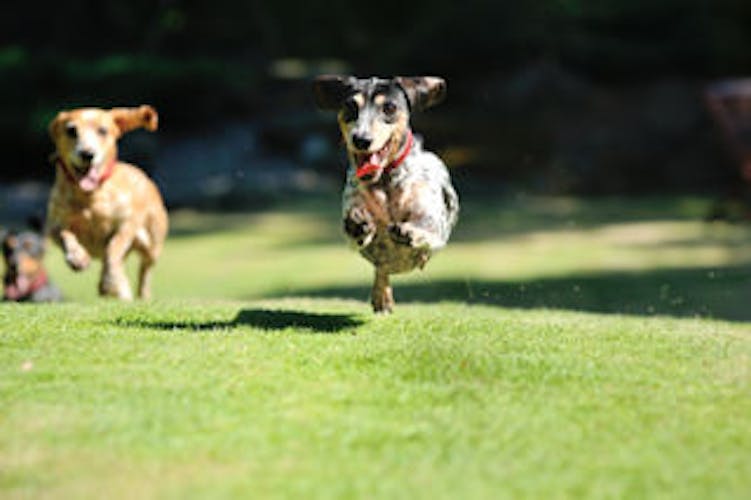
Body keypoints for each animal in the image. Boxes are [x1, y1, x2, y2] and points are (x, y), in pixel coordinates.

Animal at [46, 105, 168, 298]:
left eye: (102, 131)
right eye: (71, 130)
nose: (87, 154)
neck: (91, 197)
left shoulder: (127, 224)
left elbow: (113, 247)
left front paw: (110, 281)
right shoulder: (55, 223)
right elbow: (64, 234)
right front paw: (78, 257)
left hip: (153, 242)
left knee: (144, 269)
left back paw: (137, 292)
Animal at [312, 75, 458, 312]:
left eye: (389, 107)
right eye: (350, 106)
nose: (361, 139)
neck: (386, 181)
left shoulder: (435, 224)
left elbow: (427, 228)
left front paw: (411, 232)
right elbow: (355, 225)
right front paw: (357, 223)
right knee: (381, 269)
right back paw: (382, 295)